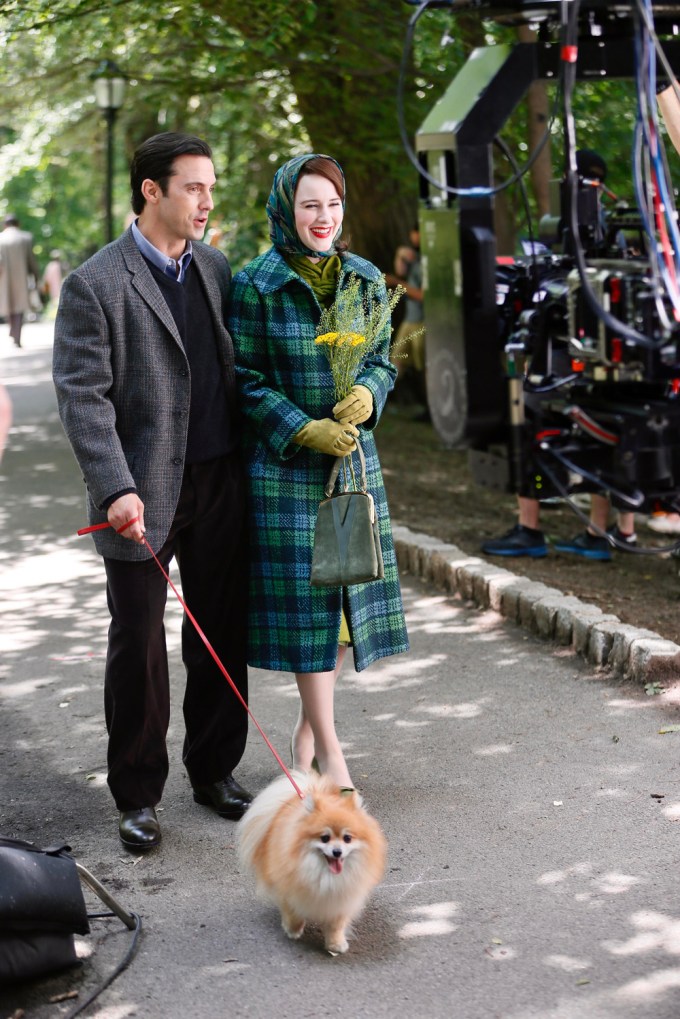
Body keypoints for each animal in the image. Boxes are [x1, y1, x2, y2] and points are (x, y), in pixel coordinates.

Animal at [238, 770, 387, 953]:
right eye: (325, 838)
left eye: (347, 838)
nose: (337, 852)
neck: (325, 874)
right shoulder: (289, 889)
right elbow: (293, 912)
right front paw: (293, 930)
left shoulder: (342, 897)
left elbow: (336, 925)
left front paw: (336, 944)